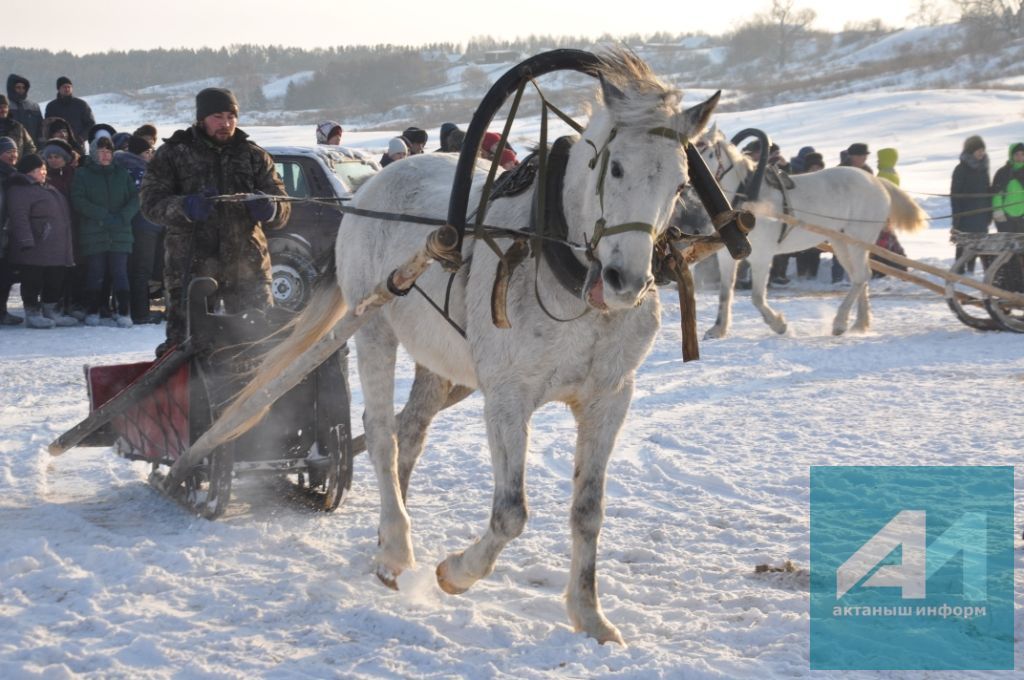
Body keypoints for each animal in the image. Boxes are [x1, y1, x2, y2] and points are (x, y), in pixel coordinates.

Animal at [228, 51, 716, 643]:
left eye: (681, 183)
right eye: (614, 167)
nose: (625, 281)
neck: (563, 269)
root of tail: (366, 191)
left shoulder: (608, 399)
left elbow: (588, 512)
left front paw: (589, 615)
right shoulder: (507, 397)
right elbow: (511, 513)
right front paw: (456, 572)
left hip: (437, 360)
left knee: (411, 430)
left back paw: (389, 535)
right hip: (374, 328)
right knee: (384, 435)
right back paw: (396, 547)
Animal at [696, 125, 929, 337]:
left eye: (704, 146)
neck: (745, 198)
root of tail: (877, 181)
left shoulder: (761, 255)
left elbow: (757, 297)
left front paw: (779, 325)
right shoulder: (726, 256)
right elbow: (725, 293)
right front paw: (718, 329)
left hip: (857, 240)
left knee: (862, 276)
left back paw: (840, 322)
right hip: (841, 243)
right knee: (860, 276)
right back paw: (860, 324)